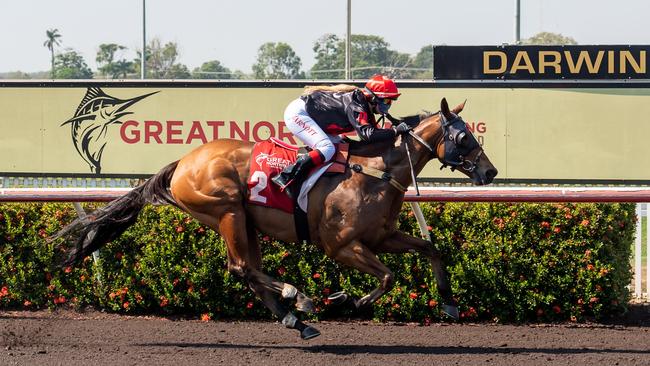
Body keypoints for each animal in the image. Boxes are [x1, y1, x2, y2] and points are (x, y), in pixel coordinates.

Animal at [54, 98, 496, 340]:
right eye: (464, 137)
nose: (490, 172)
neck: (374, 171)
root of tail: (184, 161)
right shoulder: (341, 245)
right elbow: (388, 277)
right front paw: (346, 299)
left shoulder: (382, 236)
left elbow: (432, 250)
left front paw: (450, 303)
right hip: (228, 211)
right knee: (240, 268)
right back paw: (297, 297)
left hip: (245, 223)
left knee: (247, 270)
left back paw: (295, 320)